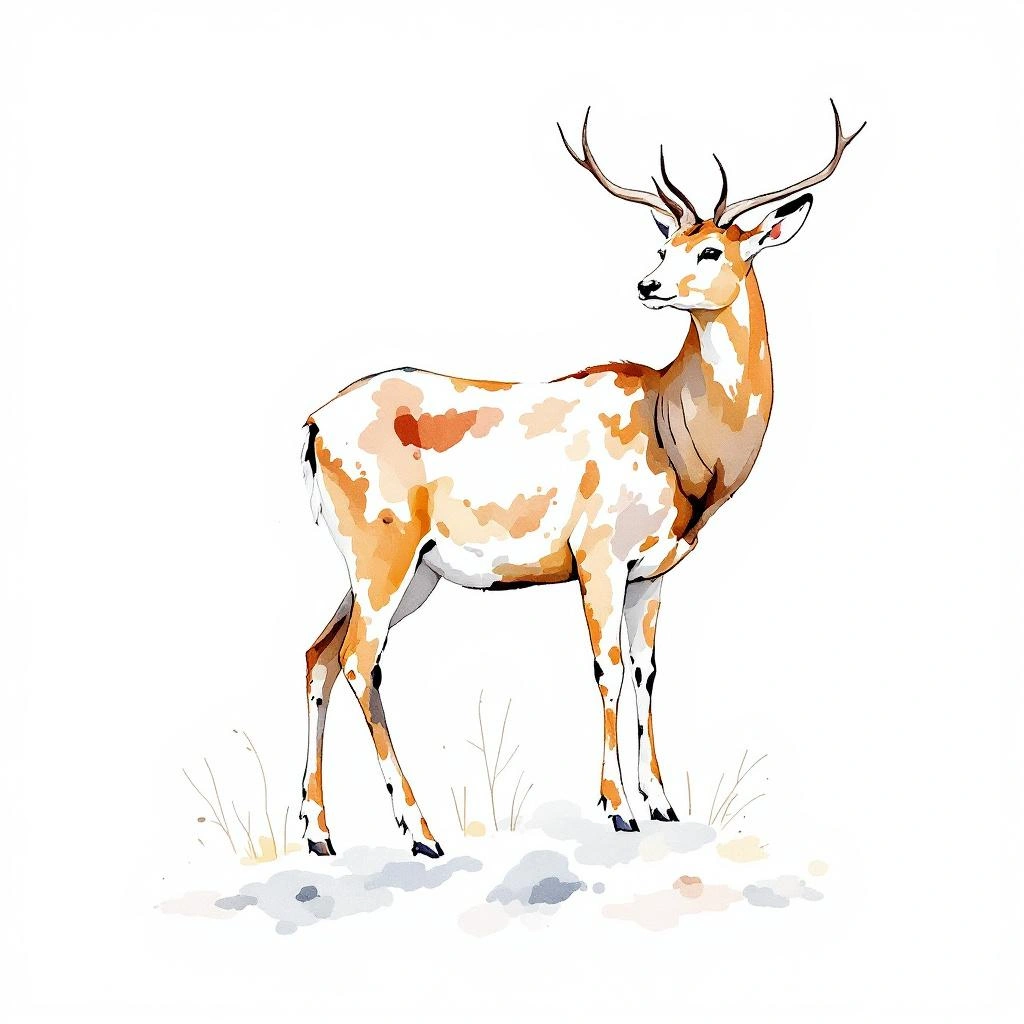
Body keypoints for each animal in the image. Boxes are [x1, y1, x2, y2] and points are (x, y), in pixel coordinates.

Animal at [298, 101, 864, 857]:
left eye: (711, 250)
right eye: (666, 245)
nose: (648, 285)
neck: (671, 429)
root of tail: (313, 423)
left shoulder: (653, 572)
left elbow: (649, 673)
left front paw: (663, 803)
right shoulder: (599, 558)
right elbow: (609, 669)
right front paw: (617, 806)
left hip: (403, 571)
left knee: (319, 654)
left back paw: (317, 832)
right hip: (383, 556)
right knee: (362, 661)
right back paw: (421, 833)